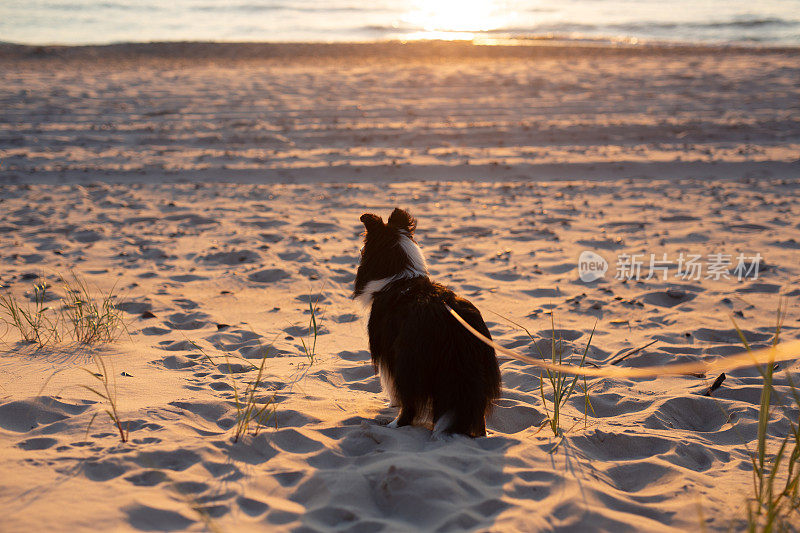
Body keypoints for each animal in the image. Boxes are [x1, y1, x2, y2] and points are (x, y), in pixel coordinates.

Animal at [352, 208, 500, 436]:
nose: (359, 251)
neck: (400, 278)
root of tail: (451, 325)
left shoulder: (386, 349)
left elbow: (391, 384)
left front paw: (392, 404)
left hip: (408, 359)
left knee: (410, 402)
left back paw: (395, 424)